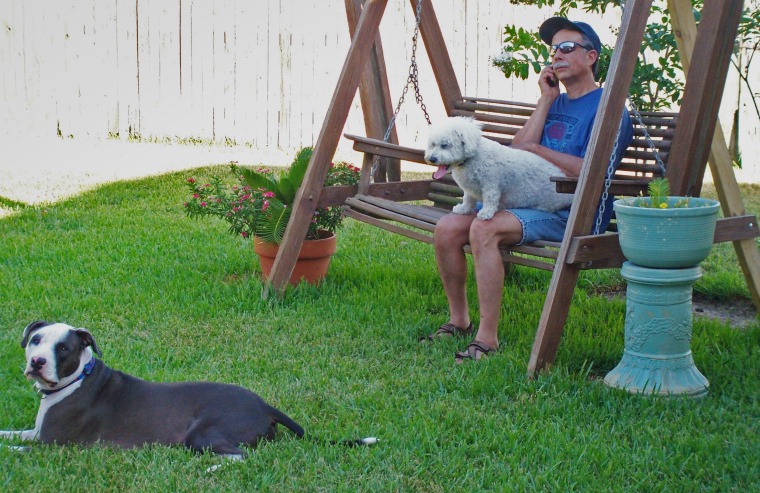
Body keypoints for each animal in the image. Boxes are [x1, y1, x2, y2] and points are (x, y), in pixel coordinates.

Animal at [1, 320, 376, 460]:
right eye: (36, 340)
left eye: (63, 348)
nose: (36, 362)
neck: (79, 377)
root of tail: (264, 404)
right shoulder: (34, 433)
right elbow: (7, 434)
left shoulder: (51, 444)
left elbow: (13, 449)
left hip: (201, 435)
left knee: (238, 456)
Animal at [424, 116, 572, 219]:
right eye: (433, 144)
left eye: (444, 145)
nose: (432, 159)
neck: (472, 157)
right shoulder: (469, 188)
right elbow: (468, 199)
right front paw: (463, 209)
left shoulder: (491, 184)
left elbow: (490, 199)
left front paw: (485, 213)